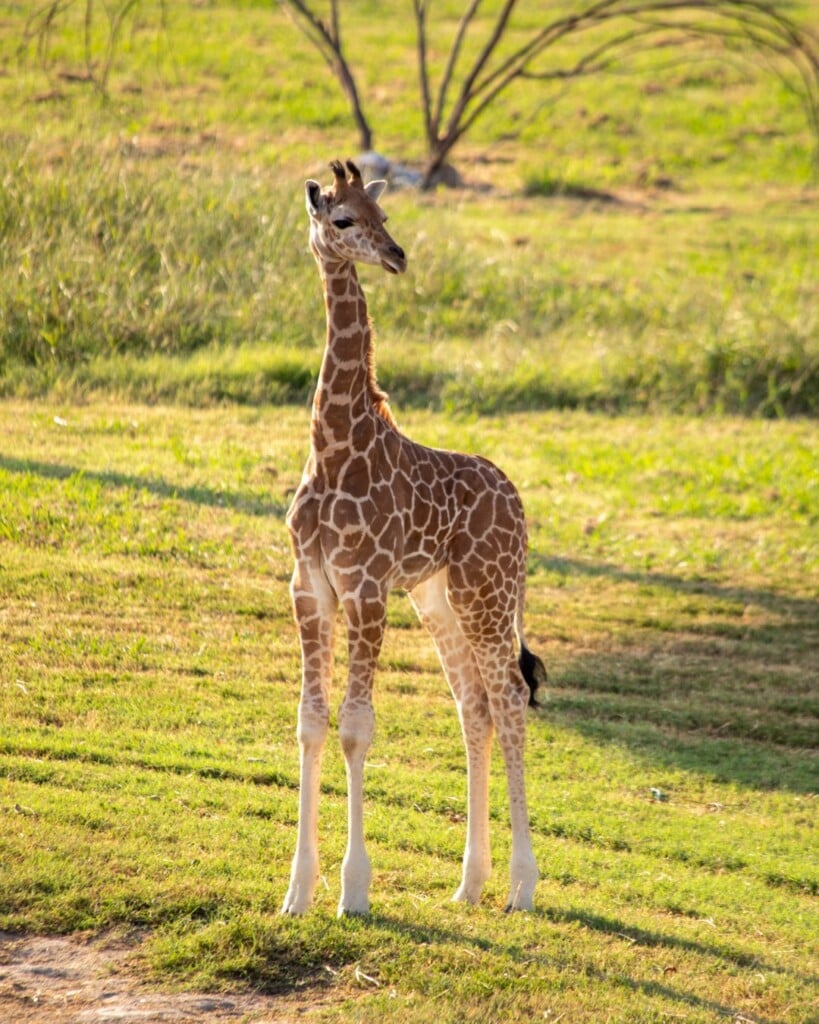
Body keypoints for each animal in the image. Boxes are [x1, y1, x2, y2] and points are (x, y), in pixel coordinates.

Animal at [280, 159, 544, 921]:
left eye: (384, 214)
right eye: (342, 218)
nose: (396, 256)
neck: (336, 448)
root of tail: (517, 502)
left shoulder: (366, 590)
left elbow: (355, 726)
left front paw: (353, 892)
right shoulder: (309, 589)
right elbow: (310, 723)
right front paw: (296, 892)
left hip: (488, 594)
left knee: (509, 700)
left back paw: (521, 886)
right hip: (436, 596)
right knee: (474, 707)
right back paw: (469, 884)